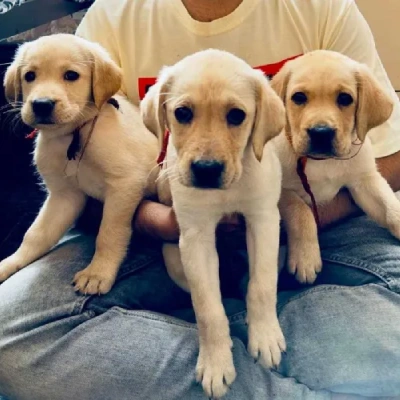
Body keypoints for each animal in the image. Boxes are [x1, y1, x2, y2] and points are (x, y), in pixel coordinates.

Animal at [1, 34, 158, 296]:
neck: (73, 134)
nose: (41, 104)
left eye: (71, 75)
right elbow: (36, 234)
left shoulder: (125, 183)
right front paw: (11, 262)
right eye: (30, 76)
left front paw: (97, 272)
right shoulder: (65, 196)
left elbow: (108, 233)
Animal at [141, 48, 284, 398]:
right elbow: (208, 309)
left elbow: (262, 286)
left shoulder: (263, 219)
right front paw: (216, 362)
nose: (206, 170)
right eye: (182, 113)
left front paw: (265, 336)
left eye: (236, 116)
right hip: (175, 263)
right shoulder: (195, 236)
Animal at [270, 50, 398, 284]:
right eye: (299, 97)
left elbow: (391, 208)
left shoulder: (364, 180)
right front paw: (306, 257)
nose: (321, 133)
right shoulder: (280, 190)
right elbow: (302, 212)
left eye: (345, 99)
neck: (322, 161)